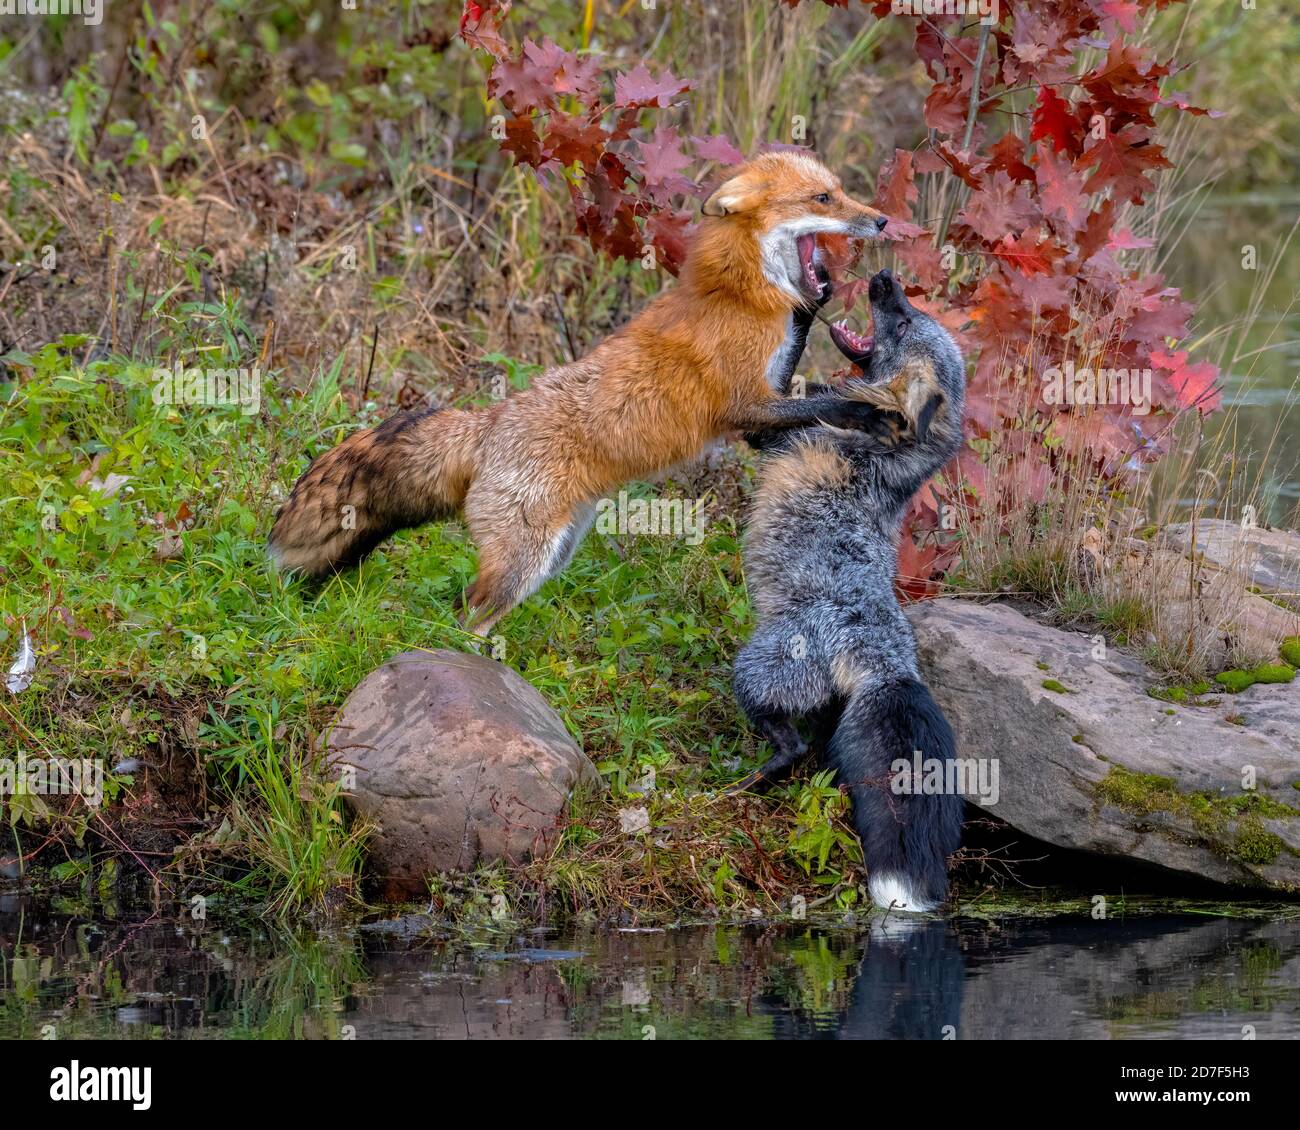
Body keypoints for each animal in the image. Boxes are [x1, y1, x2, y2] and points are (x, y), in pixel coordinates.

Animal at [268, 151, 892, 634]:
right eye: (823, 198)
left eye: (842, 191)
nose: (884, 221)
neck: (742, 292)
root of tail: (487, 423)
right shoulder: (744, 405)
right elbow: (828, 403)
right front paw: (869, 412)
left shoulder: (763, 410)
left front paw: (818, 303)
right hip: (525, 559)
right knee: (467, 614)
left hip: (553, 555)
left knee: (471, 610)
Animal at [732, 268, 967, 913]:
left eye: (904, 322)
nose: (885, 277)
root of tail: (891, 669)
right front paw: (810, 291)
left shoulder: (767, 431)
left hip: (757, 667)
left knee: (790, 744)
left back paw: (754, 776)